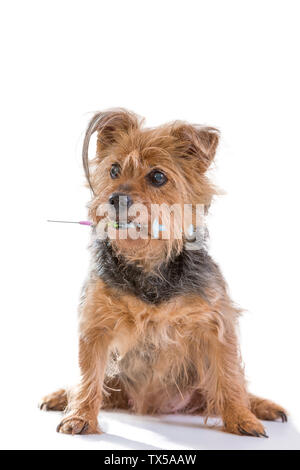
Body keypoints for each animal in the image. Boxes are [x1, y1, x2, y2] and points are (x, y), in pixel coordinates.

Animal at [39, 108, 286, 436]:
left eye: (158, 176)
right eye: (114, 170)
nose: (116, 198)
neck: (147, 262)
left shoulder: (216, 324)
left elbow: (229, 375)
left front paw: (241, 418)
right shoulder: (96, 323)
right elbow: (88, 375)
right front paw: (79, 416)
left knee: (230, 388)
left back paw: (261, 405)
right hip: (117, 381)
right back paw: (61, 396)